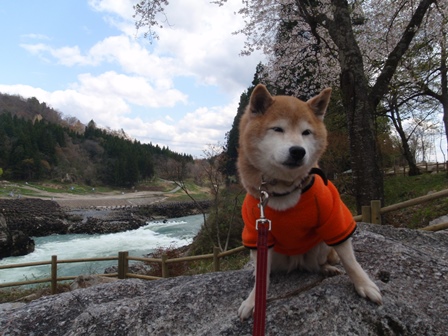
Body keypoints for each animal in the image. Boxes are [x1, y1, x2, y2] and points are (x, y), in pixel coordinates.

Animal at [238, 84, 382, 320]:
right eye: (278, 129)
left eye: (306, 132)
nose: (298, 151)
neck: (283, 190)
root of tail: (298, 264)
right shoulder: (255, 229)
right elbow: (261, 279)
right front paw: (253, 301)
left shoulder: (335, 220)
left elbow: (350, 261)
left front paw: (364, 285)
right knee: (265, 271)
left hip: (321, 245)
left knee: (319, 264)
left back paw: (327, 269)